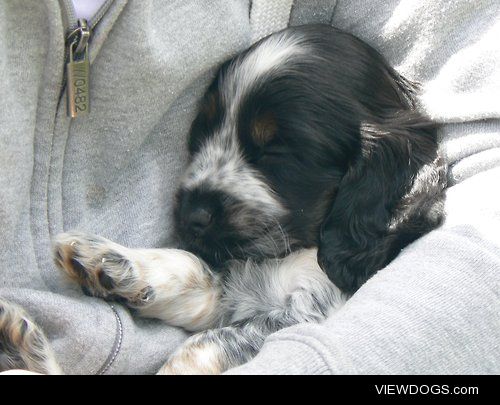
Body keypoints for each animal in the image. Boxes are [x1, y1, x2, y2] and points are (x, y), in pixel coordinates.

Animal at [0, 24, 446, 372]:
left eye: (277, 151)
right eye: (202, 131)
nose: (191, 215)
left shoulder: (309, 311)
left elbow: (205, 345)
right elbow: (197, 273)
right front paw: (103, 262)